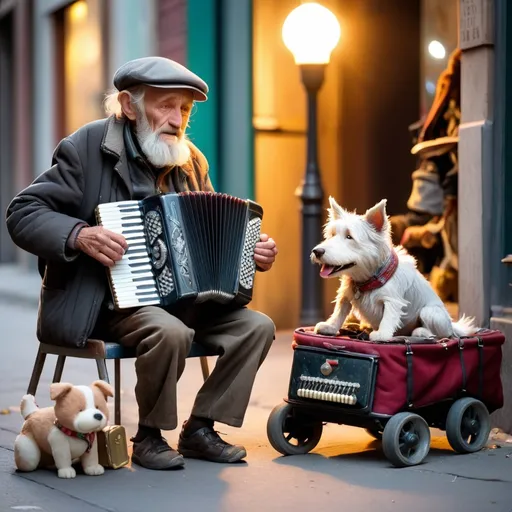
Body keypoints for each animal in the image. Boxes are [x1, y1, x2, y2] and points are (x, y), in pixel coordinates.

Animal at [310, 198, 478, 342]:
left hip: (431, 313)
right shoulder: (346, 294)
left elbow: (389, 316)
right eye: (332, 235)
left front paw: (382, 334)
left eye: (349, 237)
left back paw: (420, 332)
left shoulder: (392, 300)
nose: (317, 251)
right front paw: (330, 326)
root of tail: (453, 326)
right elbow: (340, 310)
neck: (367, 279)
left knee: (441, 334)